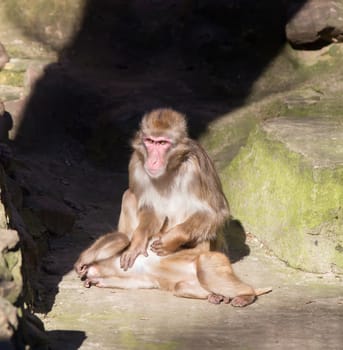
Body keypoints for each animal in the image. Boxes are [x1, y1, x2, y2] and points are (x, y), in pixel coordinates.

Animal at [74, 234, 272, 308]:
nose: (87, 274)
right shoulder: (138, 277)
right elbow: (135, 283)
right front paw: (96, 281)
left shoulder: (118, 256)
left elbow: (122, 239)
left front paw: (82, 262)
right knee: (180, 286)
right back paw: (217, 295)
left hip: (215, 259)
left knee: (204, 267)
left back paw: (247, 294)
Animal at [119, 108, 231, 270]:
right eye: (150, 141)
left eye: (162, 143)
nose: (152, 161)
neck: (169, 168)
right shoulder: (136, 164)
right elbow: (149, 207)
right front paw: (138, 240)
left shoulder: (197, 169)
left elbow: (216, 213)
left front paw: (172, 239)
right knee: (129, 196)